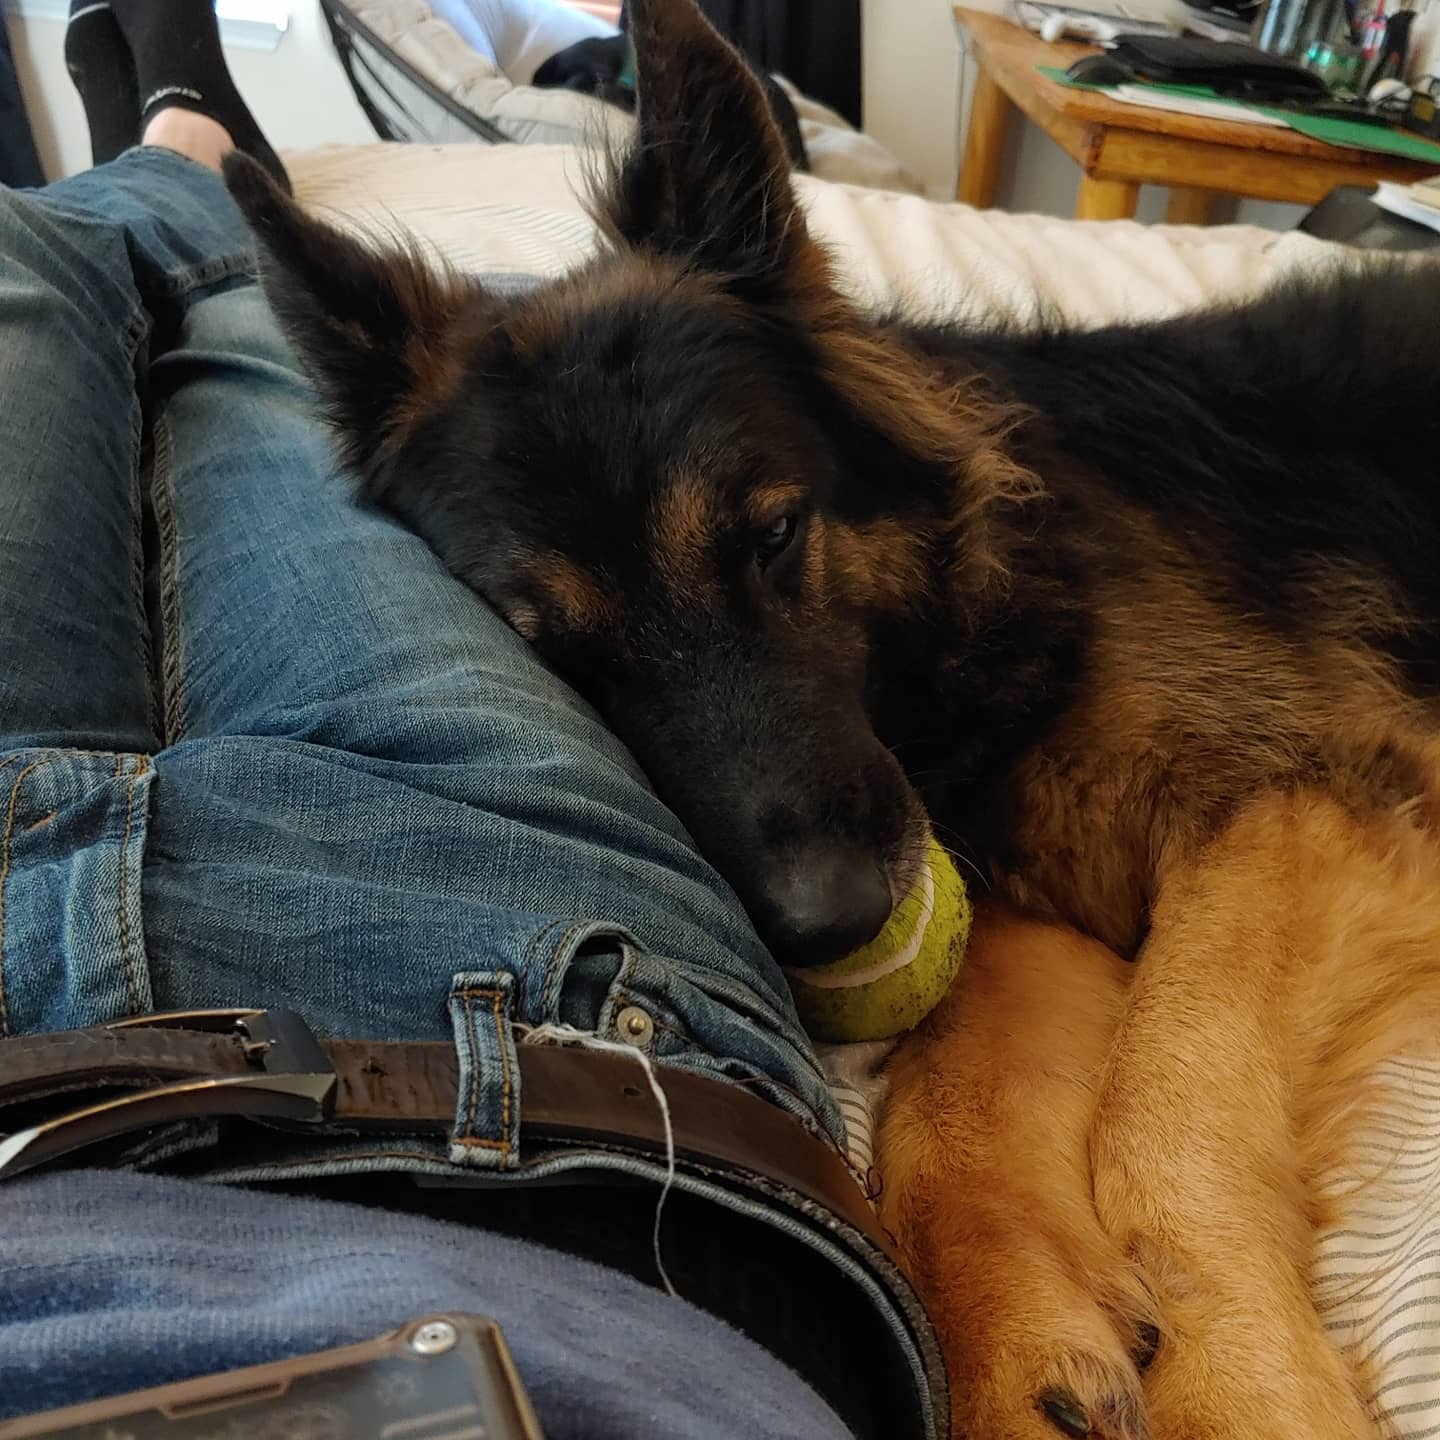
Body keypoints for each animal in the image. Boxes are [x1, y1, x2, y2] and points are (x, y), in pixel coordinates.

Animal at [224, 0, 1440, 1433]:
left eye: (772, 538)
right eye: (559, 653)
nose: (833, 919)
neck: (988, 603)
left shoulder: (1318, 803)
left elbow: (1168, 1098)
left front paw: (1240, 1380)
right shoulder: (1038, 899)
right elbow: (945, 1107)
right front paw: (1012, 1343)